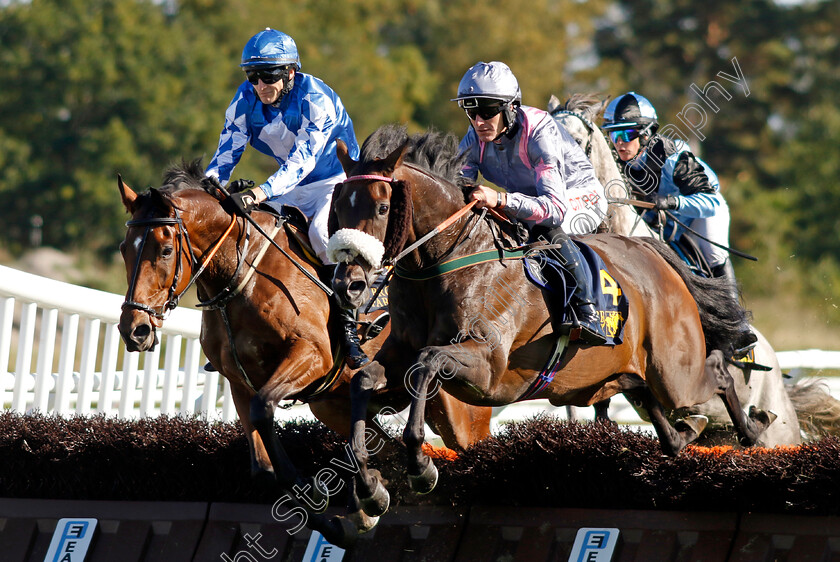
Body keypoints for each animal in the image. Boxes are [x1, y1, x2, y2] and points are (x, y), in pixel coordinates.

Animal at [115, 159, 488, 544]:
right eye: (124, 248)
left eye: (165, 251)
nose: (135, 329)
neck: (240, 274)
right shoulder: (239, 382)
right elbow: (263, 467)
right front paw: (348, 513)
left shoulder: (311, 356)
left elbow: (265, 408)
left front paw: (318, 496)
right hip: (332, 405)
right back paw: (374, 493)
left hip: (459, 411)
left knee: (465, 446)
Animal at [328, 124, 776, 524]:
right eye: (337, 208)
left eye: (382, 207)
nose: (349, 284)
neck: (447, 256)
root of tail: (654, 254)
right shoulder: (399, 355)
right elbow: (363, 379)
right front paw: (369, 489)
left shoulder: (487, 367)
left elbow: (427, 363)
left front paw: (421, 468)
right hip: (626, 375)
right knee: (662, 420)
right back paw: (689, 432)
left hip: (674, 372)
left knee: (717, 373)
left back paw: (753, 430)